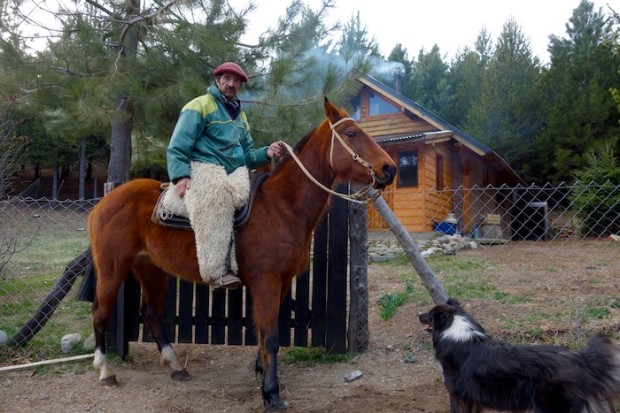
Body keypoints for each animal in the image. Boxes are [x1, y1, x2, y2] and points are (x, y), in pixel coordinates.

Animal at [87, 97, 398, 408]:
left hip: (151, 269)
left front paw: (262, 372)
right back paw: (105, 371)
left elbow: (266, 332)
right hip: (112, 268)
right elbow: (271, 336)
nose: (390, 169)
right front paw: (271, 393)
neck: (283, 206)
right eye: (351, 134)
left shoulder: (282, 281)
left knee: (151, 313)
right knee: (101, 312)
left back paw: (176, 366)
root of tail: (104, 200)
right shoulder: (266, 282)